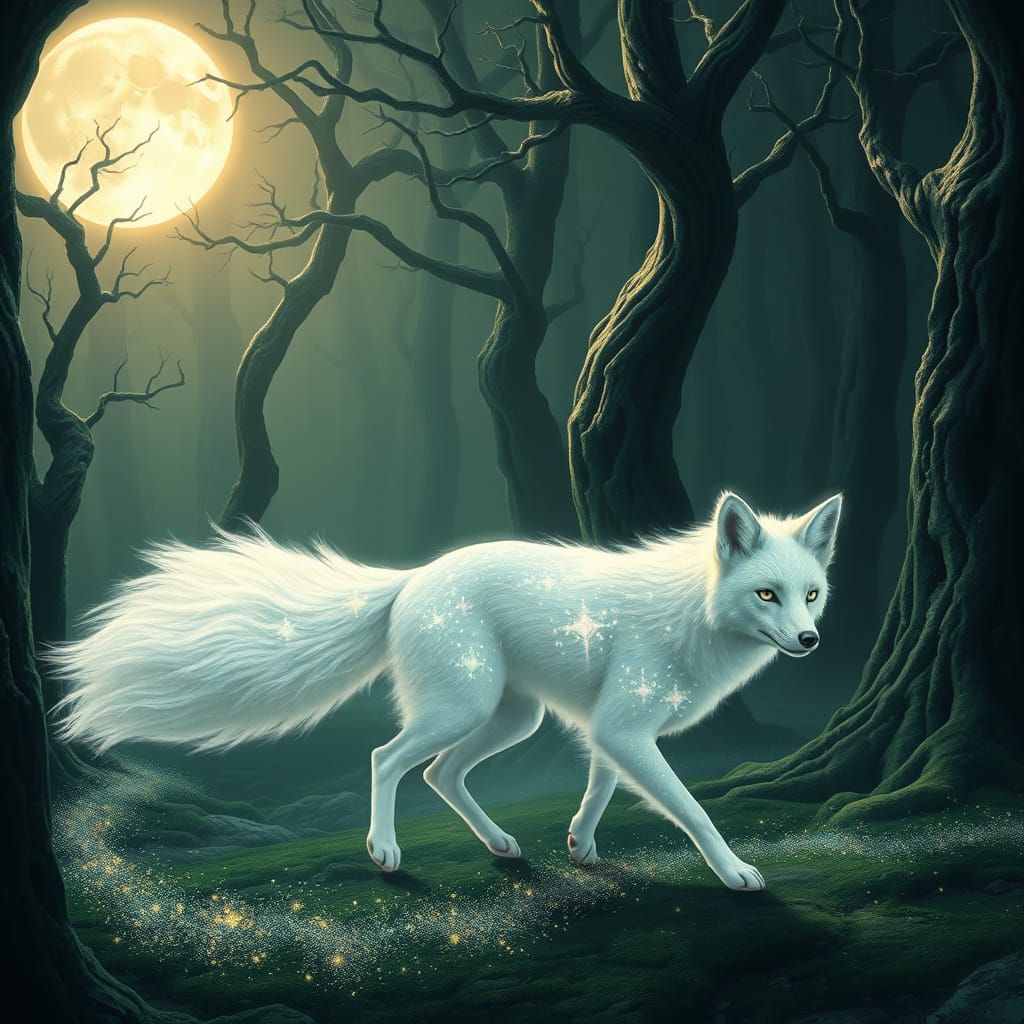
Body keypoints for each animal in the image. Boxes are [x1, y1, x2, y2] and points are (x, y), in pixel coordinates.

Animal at [52, 491, 841, 892]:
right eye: (766, 594)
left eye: (811, 594)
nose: (810, 641)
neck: (695, 614)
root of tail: (410, 580)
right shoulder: (624, 728)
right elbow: (693, 810)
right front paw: (735, 872)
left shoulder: (608, 730)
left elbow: (597, 789)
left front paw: (581, 847)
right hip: (464, 706)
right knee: (387, 759)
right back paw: (384, 851)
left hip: (512, 718)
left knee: (439, 773)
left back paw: (501, 845)